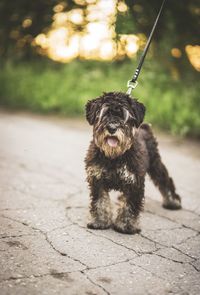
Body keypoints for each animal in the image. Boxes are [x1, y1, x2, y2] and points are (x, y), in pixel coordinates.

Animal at [84, 91, 181, 235]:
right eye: (104, 113)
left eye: (124, 115)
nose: (112, 128)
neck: (114, 156)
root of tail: (145, 128)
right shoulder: (97, 179)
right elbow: (100, 201)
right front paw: (99, 221)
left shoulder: (134, 181)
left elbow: (130, 205)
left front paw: (126, 226)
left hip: (155, 163)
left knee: (164, 180)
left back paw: (172, 201)